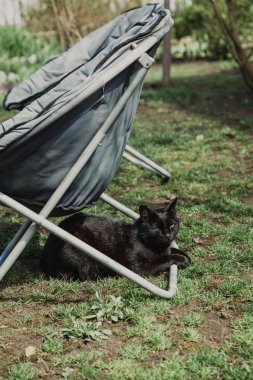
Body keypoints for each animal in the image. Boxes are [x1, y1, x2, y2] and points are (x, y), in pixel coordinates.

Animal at [39, 197, 191, 280]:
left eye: (172, 225)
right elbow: (165, 258)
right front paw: (182, 260)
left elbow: (174, 250)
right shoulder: (139, 267)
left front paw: (186, 257)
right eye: (156, 228)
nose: (167, 235)